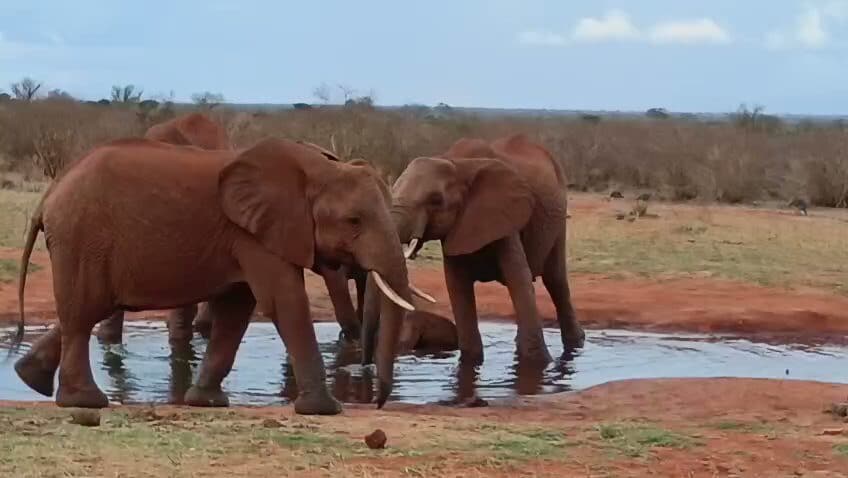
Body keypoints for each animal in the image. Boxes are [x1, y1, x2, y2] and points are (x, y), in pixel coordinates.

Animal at [11, 136, 417, 415]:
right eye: (354, 221)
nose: (378, 402)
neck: (317, 168)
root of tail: (49, 196)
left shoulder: (250, 236)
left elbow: (237, 310)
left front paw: (206, 402)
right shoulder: (255, 235)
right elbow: (283, 301)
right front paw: (325, 409)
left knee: (84, 310)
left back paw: (30, 378)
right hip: (84, 238)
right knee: (83, 313)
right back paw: (86, 402)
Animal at [362, 133, 584, 366]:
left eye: (435, 200)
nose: (366, 364)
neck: (457, 164)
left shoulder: (503, 213)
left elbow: (518, 279)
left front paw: (538, 364)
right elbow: (457, 286)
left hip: (559, 213)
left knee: (555, 280)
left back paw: (576, 343)